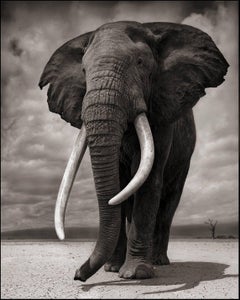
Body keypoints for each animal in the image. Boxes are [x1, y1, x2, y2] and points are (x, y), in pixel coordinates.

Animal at [39, 21, 229, 282]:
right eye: (84, 71)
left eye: (140, 63)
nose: (78, 275)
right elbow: (119, 185)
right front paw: (112, 268)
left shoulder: (162, 112)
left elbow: (147, 179)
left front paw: (136, 273)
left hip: (185, 160)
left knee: (168, 204)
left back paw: (159, 262)